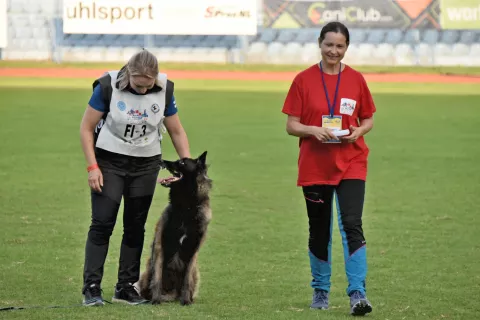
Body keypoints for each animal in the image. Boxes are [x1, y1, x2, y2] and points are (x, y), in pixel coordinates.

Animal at [139, 151, 214, 306]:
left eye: (182, 163)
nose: (161, 161)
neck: (186, 206)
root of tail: (172, 294)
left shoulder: (192, 251)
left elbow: (186, 280)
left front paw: (185, 300)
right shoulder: (160, 246)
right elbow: (157, 278)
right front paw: (155, 300)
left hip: (195, 272)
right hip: (148, 269)